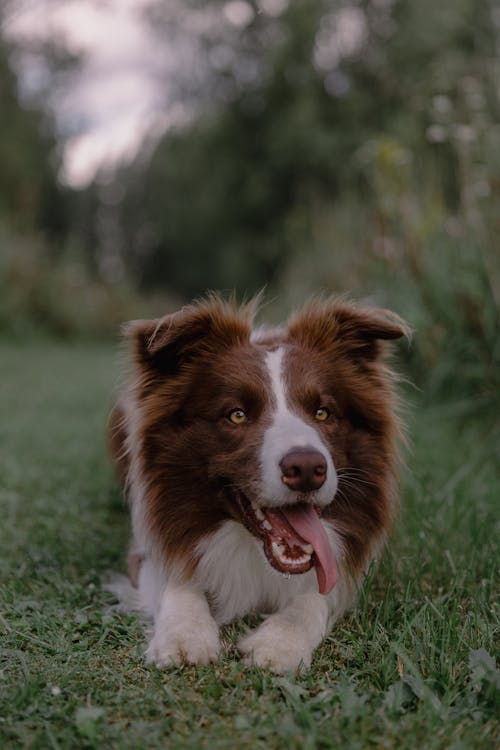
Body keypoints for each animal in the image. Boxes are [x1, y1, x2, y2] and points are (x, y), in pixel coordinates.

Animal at [106, 296, 406, 676]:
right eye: (237, 414)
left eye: (322, 412)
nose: (307, 468)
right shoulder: (147, 544)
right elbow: (177, 579)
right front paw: (184, 637)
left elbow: (318, 592)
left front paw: (278, 644)